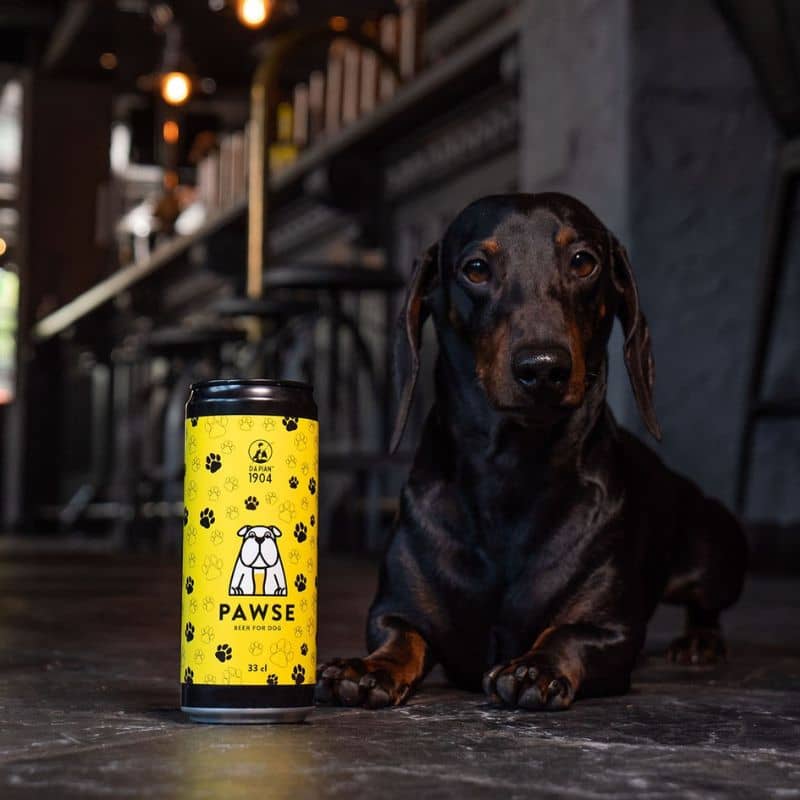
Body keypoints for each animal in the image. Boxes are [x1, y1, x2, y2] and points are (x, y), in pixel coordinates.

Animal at [314, 194, 752, 712]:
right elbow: (400, 635)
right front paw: (367, 670)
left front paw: (534, 668)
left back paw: (700, 641)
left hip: (714, 553)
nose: (543, 367)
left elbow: (568, 635)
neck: (511, 472)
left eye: (583, 261)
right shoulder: (394, 609)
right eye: (476, 268)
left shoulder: (611, 629)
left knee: (707, 604)